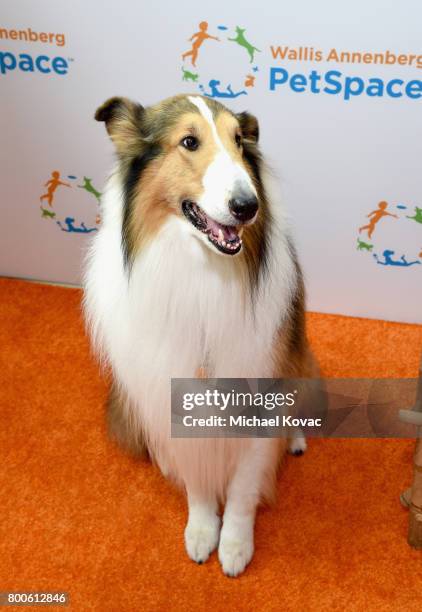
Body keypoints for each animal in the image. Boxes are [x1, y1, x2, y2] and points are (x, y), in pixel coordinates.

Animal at [84, 93, 318, 576]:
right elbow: (197, 477)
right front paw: (203, 528)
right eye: (189, 141)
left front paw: (235, 544)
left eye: (239, 141)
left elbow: (245, 486)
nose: (247, 206)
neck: (200, 272)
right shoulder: (169, 391)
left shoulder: (259, 388)